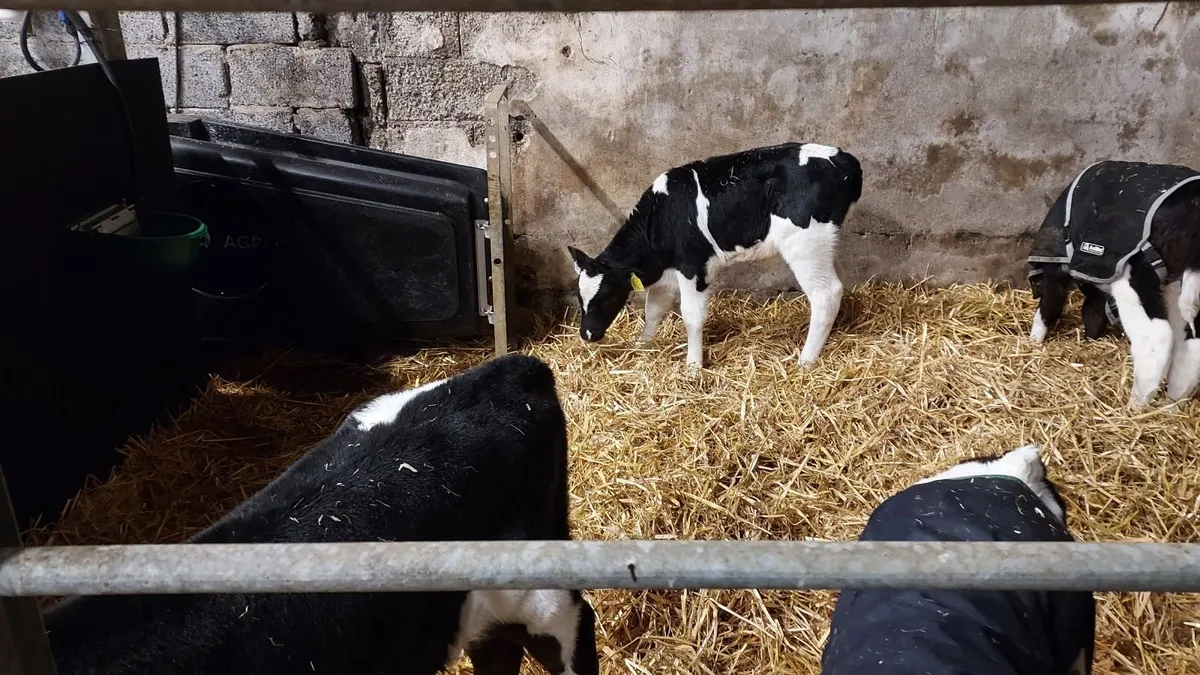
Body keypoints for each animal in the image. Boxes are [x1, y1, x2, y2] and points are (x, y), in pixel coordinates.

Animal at [567, 142, 863, 368]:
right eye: (580, 297)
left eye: (609, 296)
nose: (587, 334)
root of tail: (843, 158)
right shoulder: (669, 272)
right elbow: (654, 309)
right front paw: (643, 346)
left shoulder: (693, 266)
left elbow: (691, 315)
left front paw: (693, 365)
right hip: (825, 243)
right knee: (840, 280)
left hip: (804, 244)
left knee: (826, 294)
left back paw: (806, 361)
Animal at [1027, 160, 1200, 406]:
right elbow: (1090, 310)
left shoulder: (1056, 272)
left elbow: (1048, 308)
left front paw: (1033, 343)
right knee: (1190, 342)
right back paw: (1171, 405)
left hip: (1135, 272)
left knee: (1156, 335)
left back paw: (1135, 405)